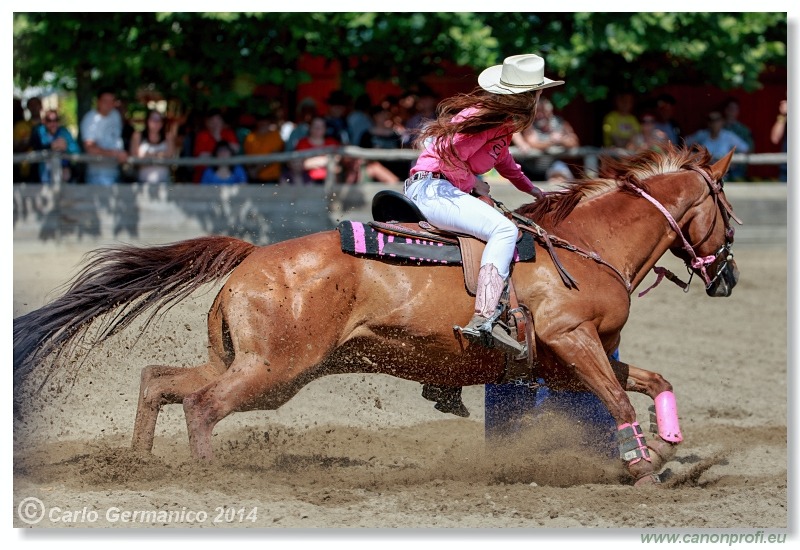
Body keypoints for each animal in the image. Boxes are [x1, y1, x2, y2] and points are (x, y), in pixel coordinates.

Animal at [10, 146, 736, 488]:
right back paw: (207, 475)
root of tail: (253, 254)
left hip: (246, 361)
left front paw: (672, 450)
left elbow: (652, 382)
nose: (726, 276)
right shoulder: (572, 341)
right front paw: (644, 468)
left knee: (159, 381)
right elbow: (615, 399)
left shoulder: (563, 364)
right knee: (202, 406)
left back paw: (141, 465)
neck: (587, 245)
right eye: (727, 210)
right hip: (274, 372)